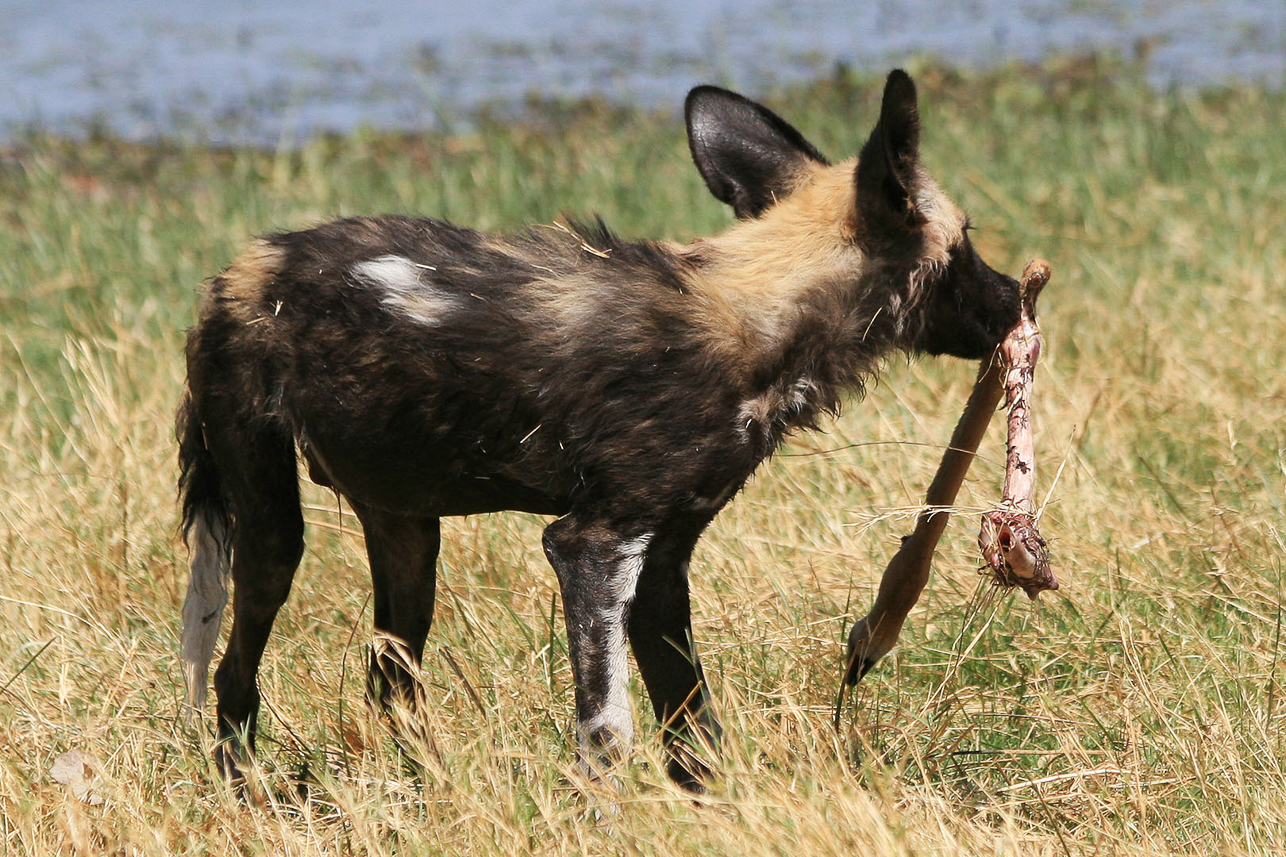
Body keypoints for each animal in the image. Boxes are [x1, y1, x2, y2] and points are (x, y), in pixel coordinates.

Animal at [181, 70, 1018, 782]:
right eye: (968, 243)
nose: (1016, 295)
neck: (762, 311)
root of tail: (237, 273)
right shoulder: (594, 545)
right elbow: (608, 726)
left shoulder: (662, 562)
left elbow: (693, 724)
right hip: (272, 531)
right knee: (234, 670)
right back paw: (245, 792)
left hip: (410, 534)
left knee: (389, 682)